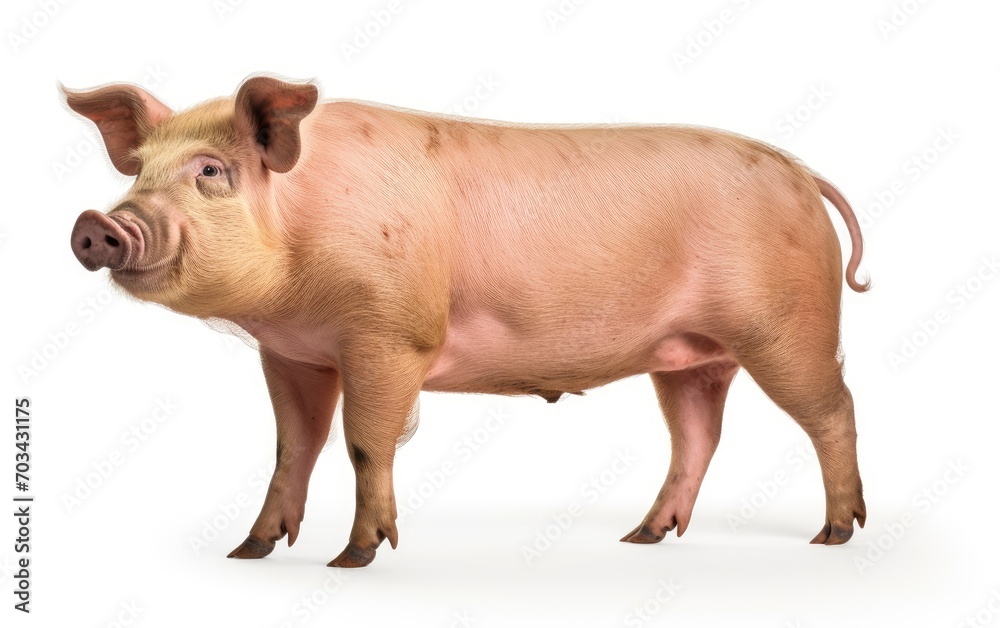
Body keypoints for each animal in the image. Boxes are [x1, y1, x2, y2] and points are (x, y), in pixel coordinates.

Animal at [64, 75, 869, 568]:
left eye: (210, 171)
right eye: (138, 169)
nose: (99, 222)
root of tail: (803, 174)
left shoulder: (390, 335)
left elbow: (364, 444)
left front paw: (353, 559)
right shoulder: (293, 354)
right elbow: (293, 448)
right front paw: (248, 553)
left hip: (788, 324)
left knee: (835, 410)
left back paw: (832, 536)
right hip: (692, 354)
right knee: (699, 434)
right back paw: (641, 538)